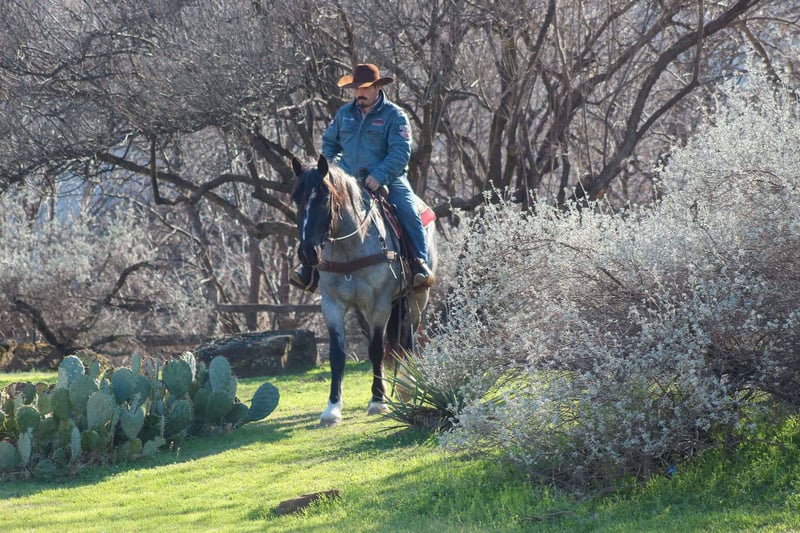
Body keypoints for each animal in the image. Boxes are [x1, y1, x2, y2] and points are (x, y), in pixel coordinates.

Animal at [290, 155, 436, 426]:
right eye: (297, 198)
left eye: (325, 197)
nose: (307, 253)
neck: (351, 246)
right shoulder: (331, 304)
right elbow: (337, 355)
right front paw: (332, 408)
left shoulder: (380, 303)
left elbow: (376, 350)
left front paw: (378, 401)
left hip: (417, 299)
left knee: (408, 340)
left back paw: (405, 387)